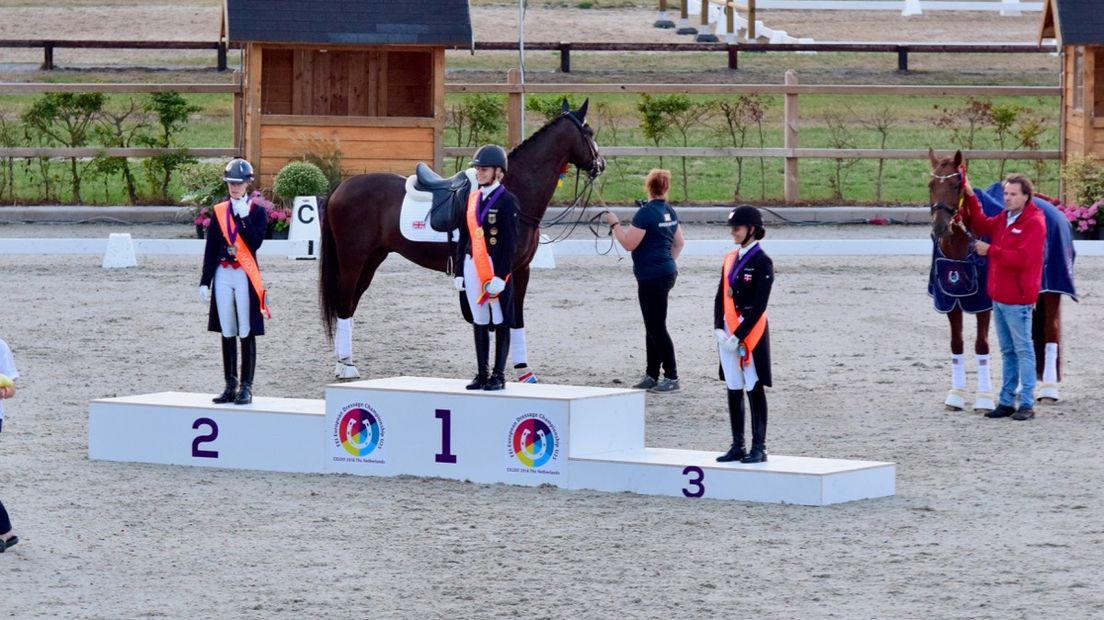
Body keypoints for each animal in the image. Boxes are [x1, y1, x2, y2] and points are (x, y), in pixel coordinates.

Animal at [315, 99, 609, 379]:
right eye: (589, 132)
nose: (600, 164)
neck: (511, 191)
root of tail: (341, 187)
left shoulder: (519, 270)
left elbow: (515, 320)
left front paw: (523, 370)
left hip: (371, 259)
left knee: (349, 305)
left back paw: (343, 363)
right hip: (353, 260)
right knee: (344, 303)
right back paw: (347, 366)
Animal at [931, 148, 1077, 410]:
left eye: (956, 184)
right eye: (931, 185)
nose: (940, 227)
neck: (959, 248)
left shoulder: (983, 306)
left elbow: (981, 345)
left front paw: (984, 399)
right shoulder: (950, 302)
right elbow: (956, 343)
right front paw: (955, 395)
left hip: (1052, 292)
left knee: (1050, 334)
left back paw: (1049, 390)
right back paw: (1019, 389)